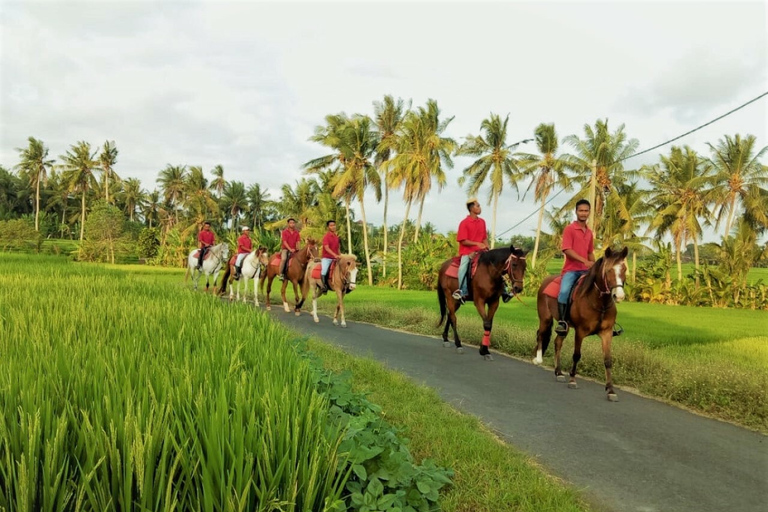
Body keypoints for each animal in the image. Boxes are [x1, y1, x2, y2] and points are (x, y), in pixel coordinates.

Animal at [536, 246, 632, 402]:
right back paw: (538, 359)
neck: (599, 302)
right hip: (545, 318)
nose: (619, 296)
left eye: (624, 269)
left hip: (564, 326)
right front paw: (572, 380)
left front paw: (611, 390)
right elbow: (576, 355)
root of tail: (546, 281)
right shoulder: (580, 331)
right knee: (541, 334)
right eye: (608, 270)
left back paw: (559, 372)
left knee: (557, 343)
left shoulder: (606, 333)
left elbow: (608, 360)